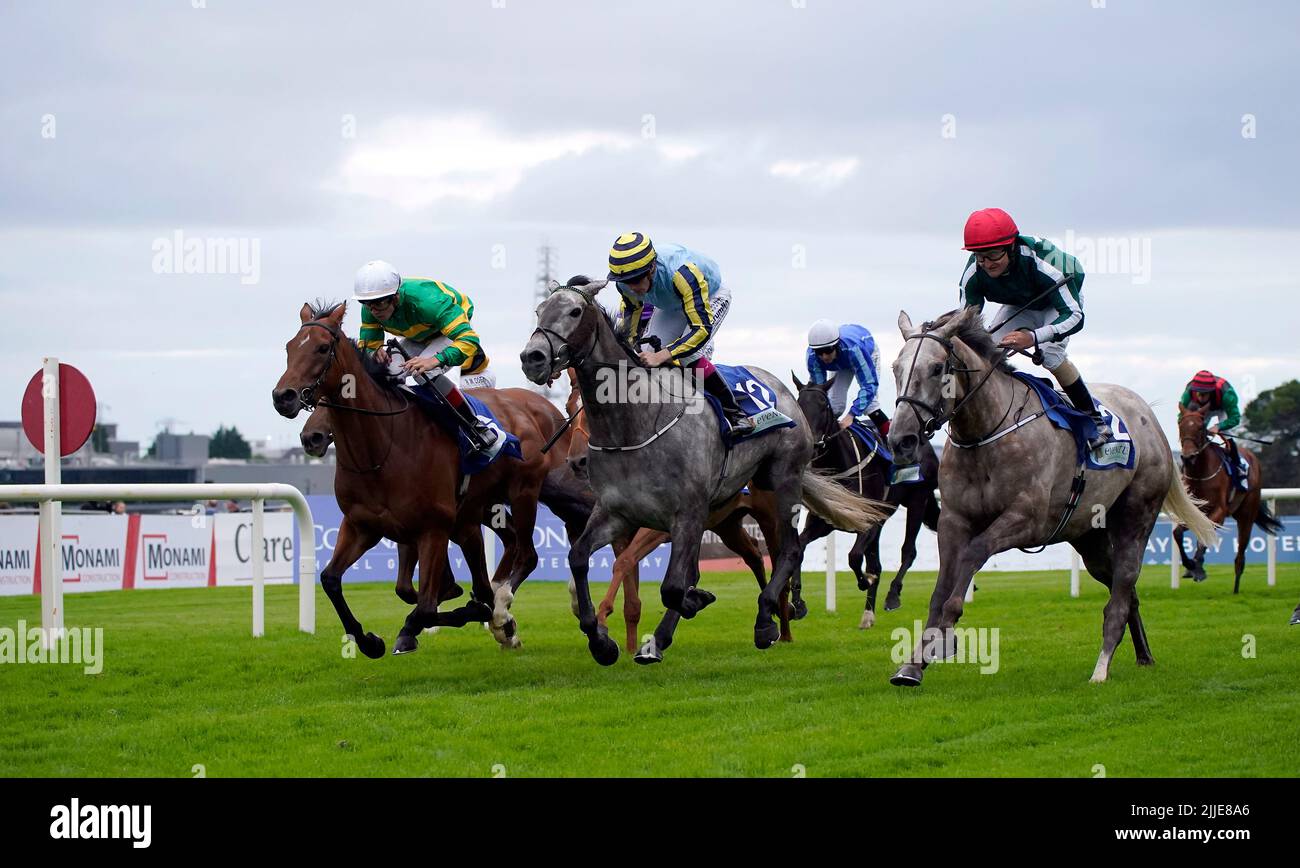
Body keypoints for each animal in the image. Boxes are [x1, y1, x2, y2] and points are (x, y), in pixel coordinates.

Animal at [271, 301, 556, 654]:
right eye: (289, 347)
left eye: (322, 348)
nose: (283, 396)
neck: (381, 450)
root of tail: (538, 408)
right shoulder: (362, 526)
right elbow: (331, 580)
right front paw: (368, 641)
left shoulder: (432, 529)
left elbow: (427, 607)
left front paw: (420, 625)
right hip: (481, 510)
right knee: (506, 546)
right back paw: (500, 616)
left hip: (522, 493)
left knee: (525, 555)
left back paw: (498, 611)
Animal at [520, 278, 894, 665]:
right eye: (539, 310)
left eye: (574, 311)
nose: (533, 357)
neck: (634, 424)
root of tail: (782, 390)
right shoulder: (616, 513)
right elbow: (579, 558)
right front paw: (602, 642)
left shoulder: (685, 514)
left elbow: (672, 586)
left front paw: (696, 601)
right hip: (725, 518)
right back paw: (665, 638)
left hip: (781, 485)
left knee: (788, 552)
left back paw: (769, 621)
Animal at [785, 376, 941, 626]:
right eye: (799, 404)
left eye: (824, 405)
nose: (813, 444)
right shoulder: (825, 522)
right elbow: (800, 548)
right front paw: (798, 602)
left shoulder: (869, 521)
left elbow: (854, 556)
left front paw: (864, 581)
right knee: (876, 563)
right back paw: (868, 614)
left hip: (919, 499)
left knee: (908, 551)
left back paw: (892, 595)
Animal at [889, 310, 1211, 686]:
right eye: (896, 368)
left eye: (937, 367)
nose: (901, 440)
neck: (986, 432)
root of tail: (1150, 418)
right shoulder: (954, 520)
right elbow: (940, 589)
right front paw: (913, 663)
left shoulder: (1027, 520)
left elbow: (973, 554)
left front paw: (946, 634)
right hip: (1089, 537)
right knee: (1126, 590)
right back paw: (1143, 655)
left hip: (1136, 516)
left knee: (1122, 590)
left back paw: (1101, 667)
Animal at [1175, 408, 1284, 589]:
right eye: (1180, 426)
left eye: (1200, 427)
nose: (1188, 457)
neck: (1200, 474)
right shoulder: (1192, 512)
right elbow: (1177, 533)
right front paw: (1190, 565)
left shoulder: (1219, 512)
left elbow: (1204, 536)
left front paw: (1198, 568)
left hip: (1247, 515)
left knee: (1240, 556)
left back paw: (1236, 588)